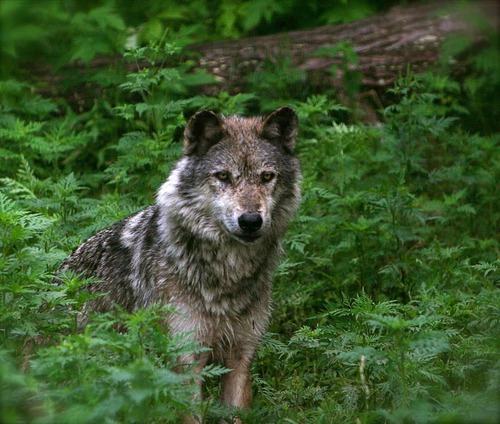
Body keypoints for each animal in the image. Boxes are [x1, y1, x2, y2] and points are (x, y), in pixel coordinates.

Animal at [58, 106, 300, 418]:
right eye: (223, 176)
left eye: (267, 176)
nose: (250, 221)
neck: (226, 276)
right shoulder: (185, 361)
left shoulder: (241, 358)